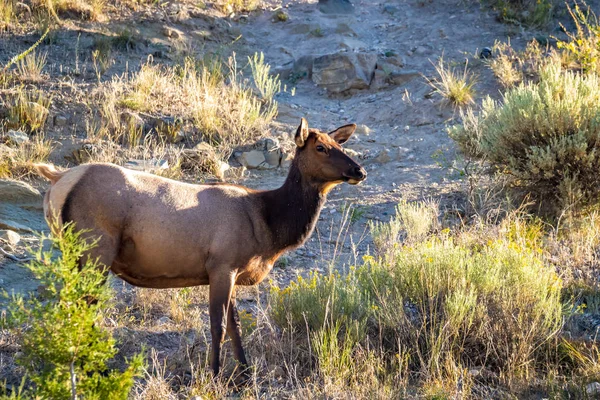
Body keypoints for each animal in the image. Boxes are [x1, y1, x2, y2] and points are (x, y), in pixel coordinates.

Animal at [35, 118, 368, 378]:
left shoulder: (231, 270)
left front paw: (246, 374)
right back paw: (92, 368)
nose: (359, 171)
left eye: (339, 144)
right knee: (81, 306)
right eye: (320, 147)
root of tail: (58, 179)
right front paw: (215, 374)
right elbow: (218, 326)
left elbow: (235, 326)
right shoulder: (222, 265)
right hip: (95, 250)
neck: (269, 225)